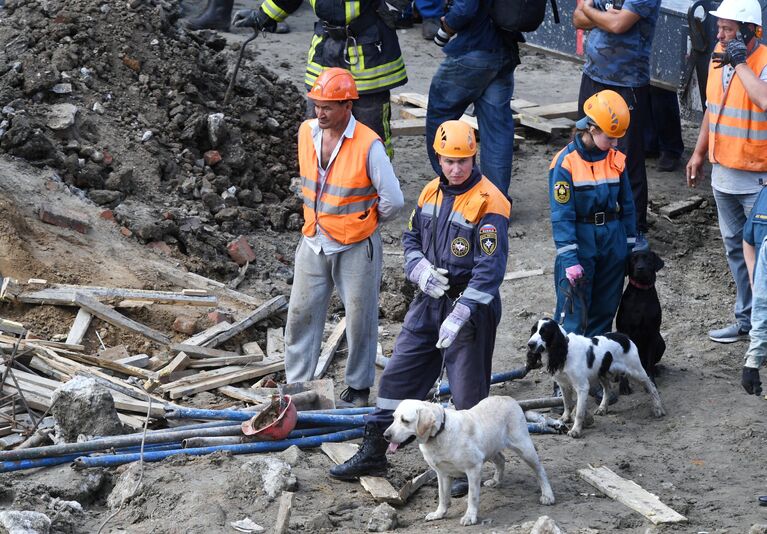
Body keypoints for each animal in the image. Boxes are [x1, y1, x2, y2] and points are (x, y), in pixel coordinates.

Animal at [388, 398, 556, 528]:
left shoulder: (473, 468)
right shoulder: (442, 474)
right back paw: (496, 481)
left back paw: (547, 495)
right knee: (501, 460)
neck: (439, 433)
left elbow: (472, 497)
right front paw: (439, 514)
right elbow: (443, 496)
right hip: (490, 449)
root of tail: (510, 399)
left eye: (405, 420)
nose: (385, 435)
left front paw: (470, 517)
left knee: (540, 470)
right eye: (393, 418)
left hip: (524, 448)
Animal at [528, 318, 664, 440]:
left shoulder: (582, 387)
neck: (564, 351)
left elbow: (579, 412)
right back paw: (603, 408)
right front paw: (564, 418)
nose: (530, 344)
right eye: (533, 330)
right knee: (607, 389)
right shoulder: (563, 384)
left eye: (544, 332)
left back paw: (658, 409)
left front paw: (575, 431)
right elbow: (566, 403)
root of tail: (625, 337)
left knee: (651, 386)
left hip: (636, 371)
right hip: (602, 373)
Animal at [616, 249, 664, 384]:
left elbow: (650, 362)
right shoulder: (625, 330)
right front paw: (624, 385)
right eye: (633, 260)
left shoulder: (653, 333)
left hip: (660, 341)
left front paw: (651, 380)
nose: (640, 268)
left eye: (648, 259)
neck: (641, 293)